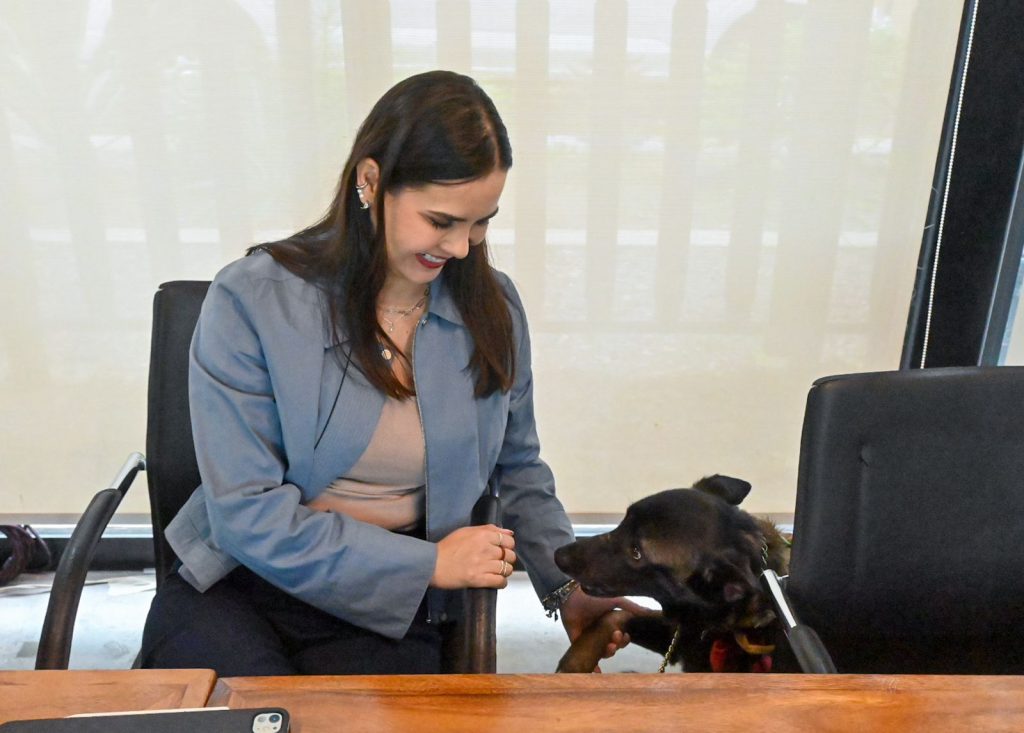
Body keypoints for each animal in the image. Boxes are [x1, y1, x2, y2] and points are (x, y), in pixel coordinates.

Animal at [553, 475, 789, 673]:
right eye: (623, 522)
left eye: (636, 552)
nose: (558, 556)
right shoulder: (677, 635)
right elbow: (615, 615)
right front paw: (575, 662)